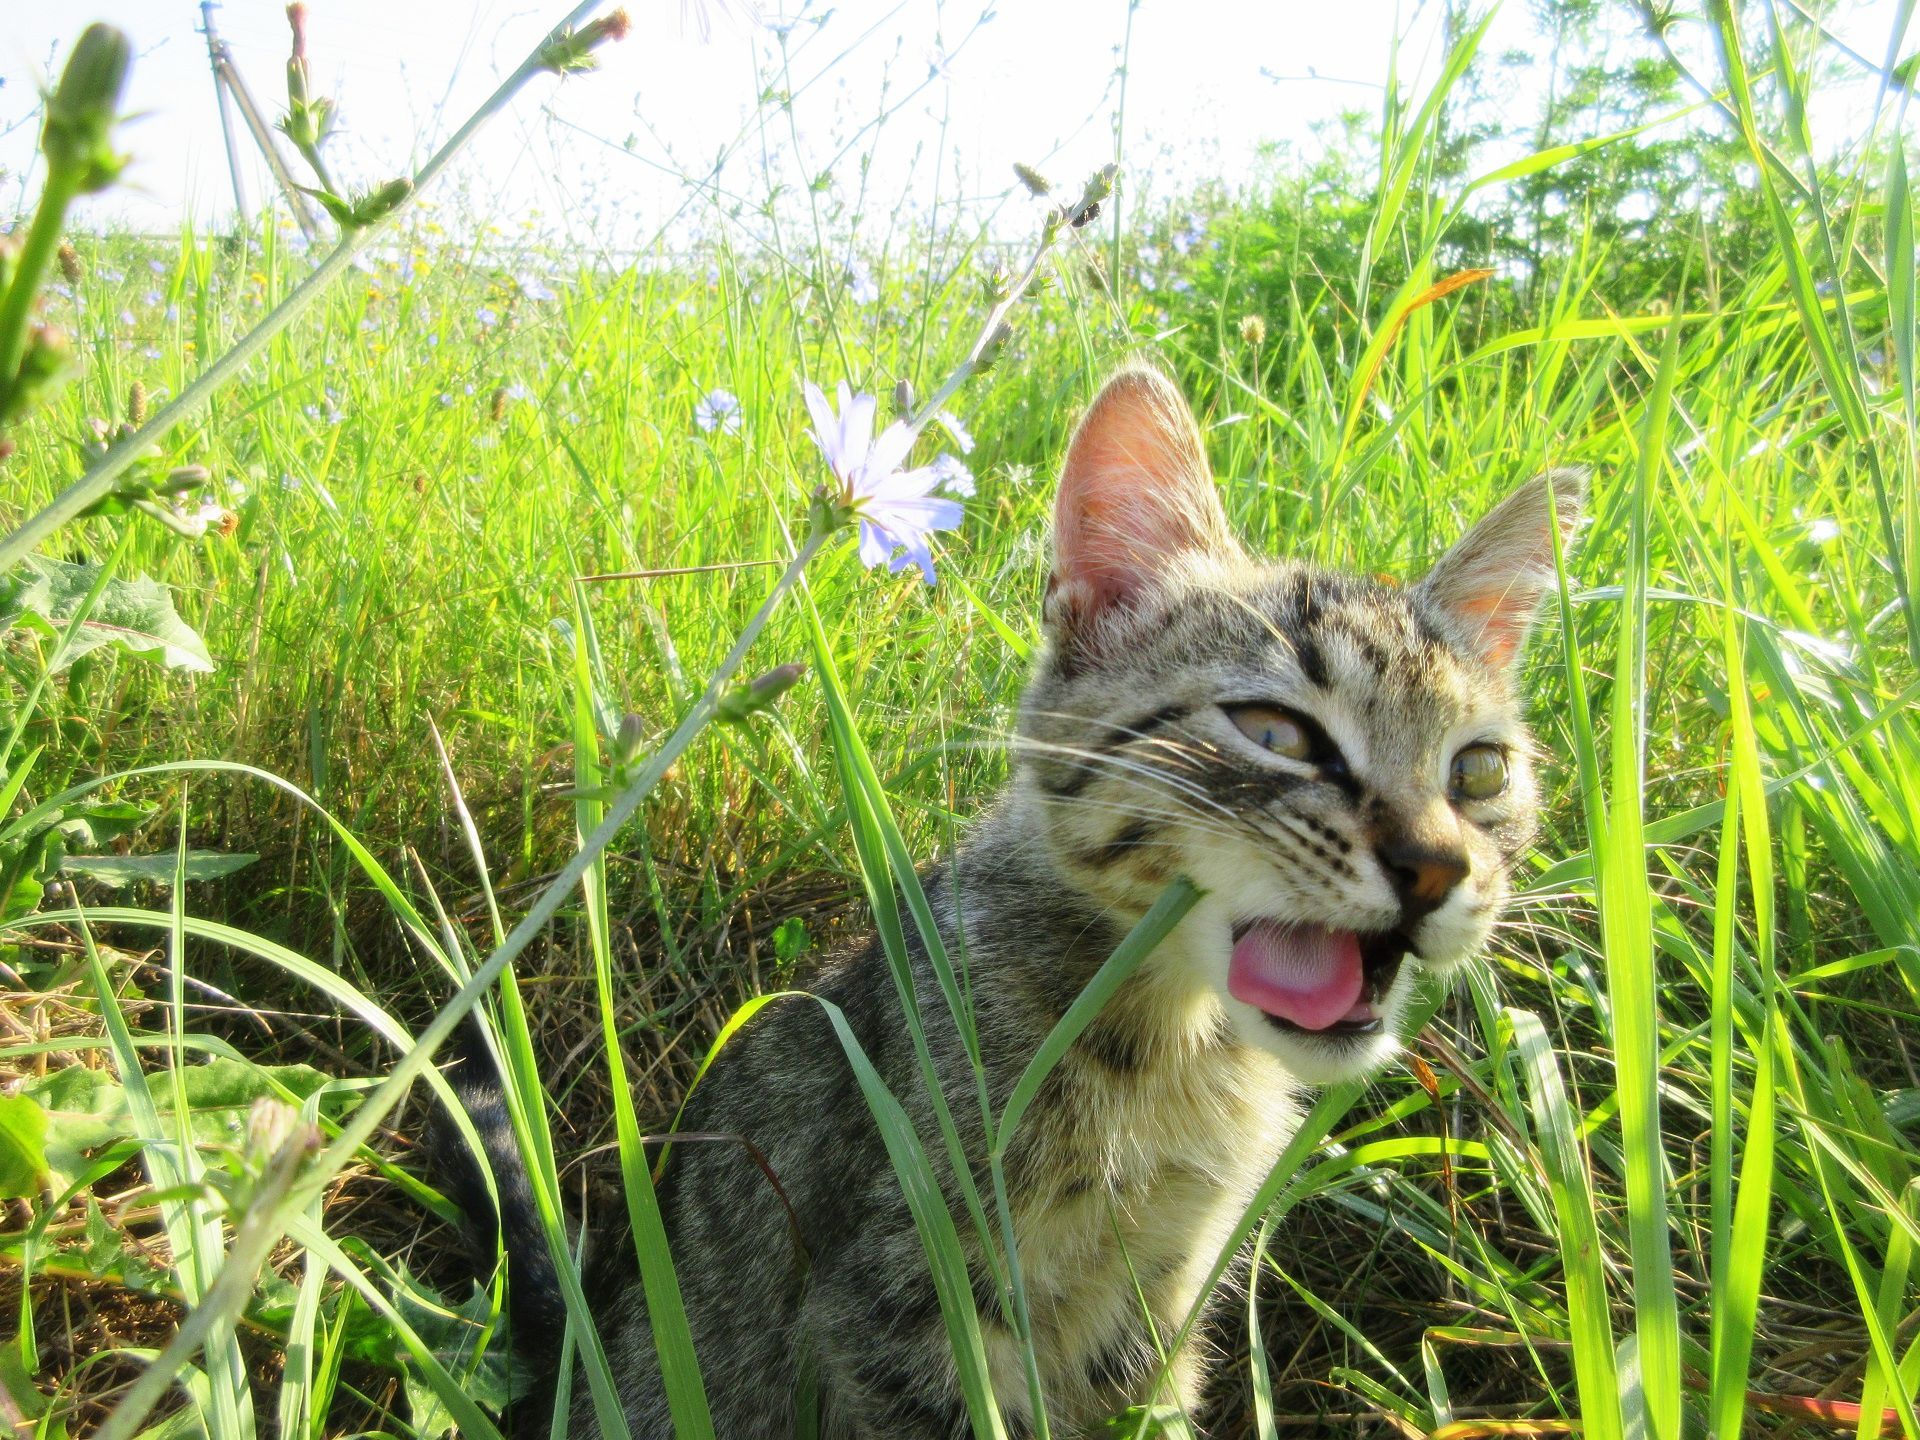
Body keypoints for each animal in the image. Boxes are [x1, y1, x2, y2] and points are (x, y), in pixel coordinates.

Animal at [441, 368, 1582, 1440]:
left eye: (1479, 772)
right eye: (1277, 732)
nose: (1437, 868)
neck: (1174, 1054)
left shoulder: (1161, 1310)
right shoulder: (899, 1314)